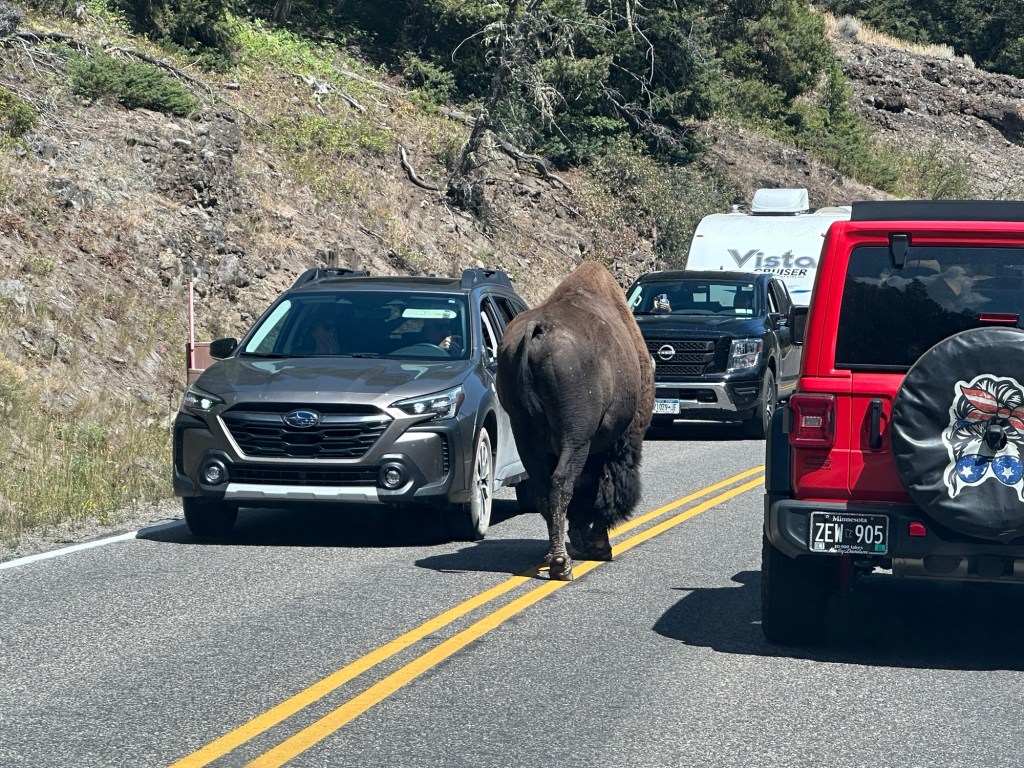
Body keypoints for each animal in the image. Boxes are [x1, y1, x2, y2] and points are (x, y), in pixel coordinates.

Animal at [496, 261, 655, 580]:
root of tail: (538, 329)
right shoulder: (610, 442)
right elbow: (597, 488)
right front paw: (599, 545)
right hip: (576, 438)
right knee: (562, 484)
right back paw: (561, 564)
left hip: (524, 435)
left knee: (544, 489)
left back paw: (556, 555)